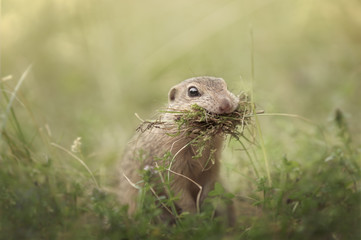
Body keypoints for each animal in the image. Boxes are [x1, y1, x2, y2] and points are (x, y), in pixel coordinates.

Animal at [118, 76, 240, 220]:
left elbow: (211, 183)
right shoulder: (170, 166)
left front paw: (204, 202)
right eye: (193, 91)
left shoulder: (213, 163)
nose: (226, 104)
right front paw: (195, 215)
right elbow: (178, 193)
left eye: (225, 85)